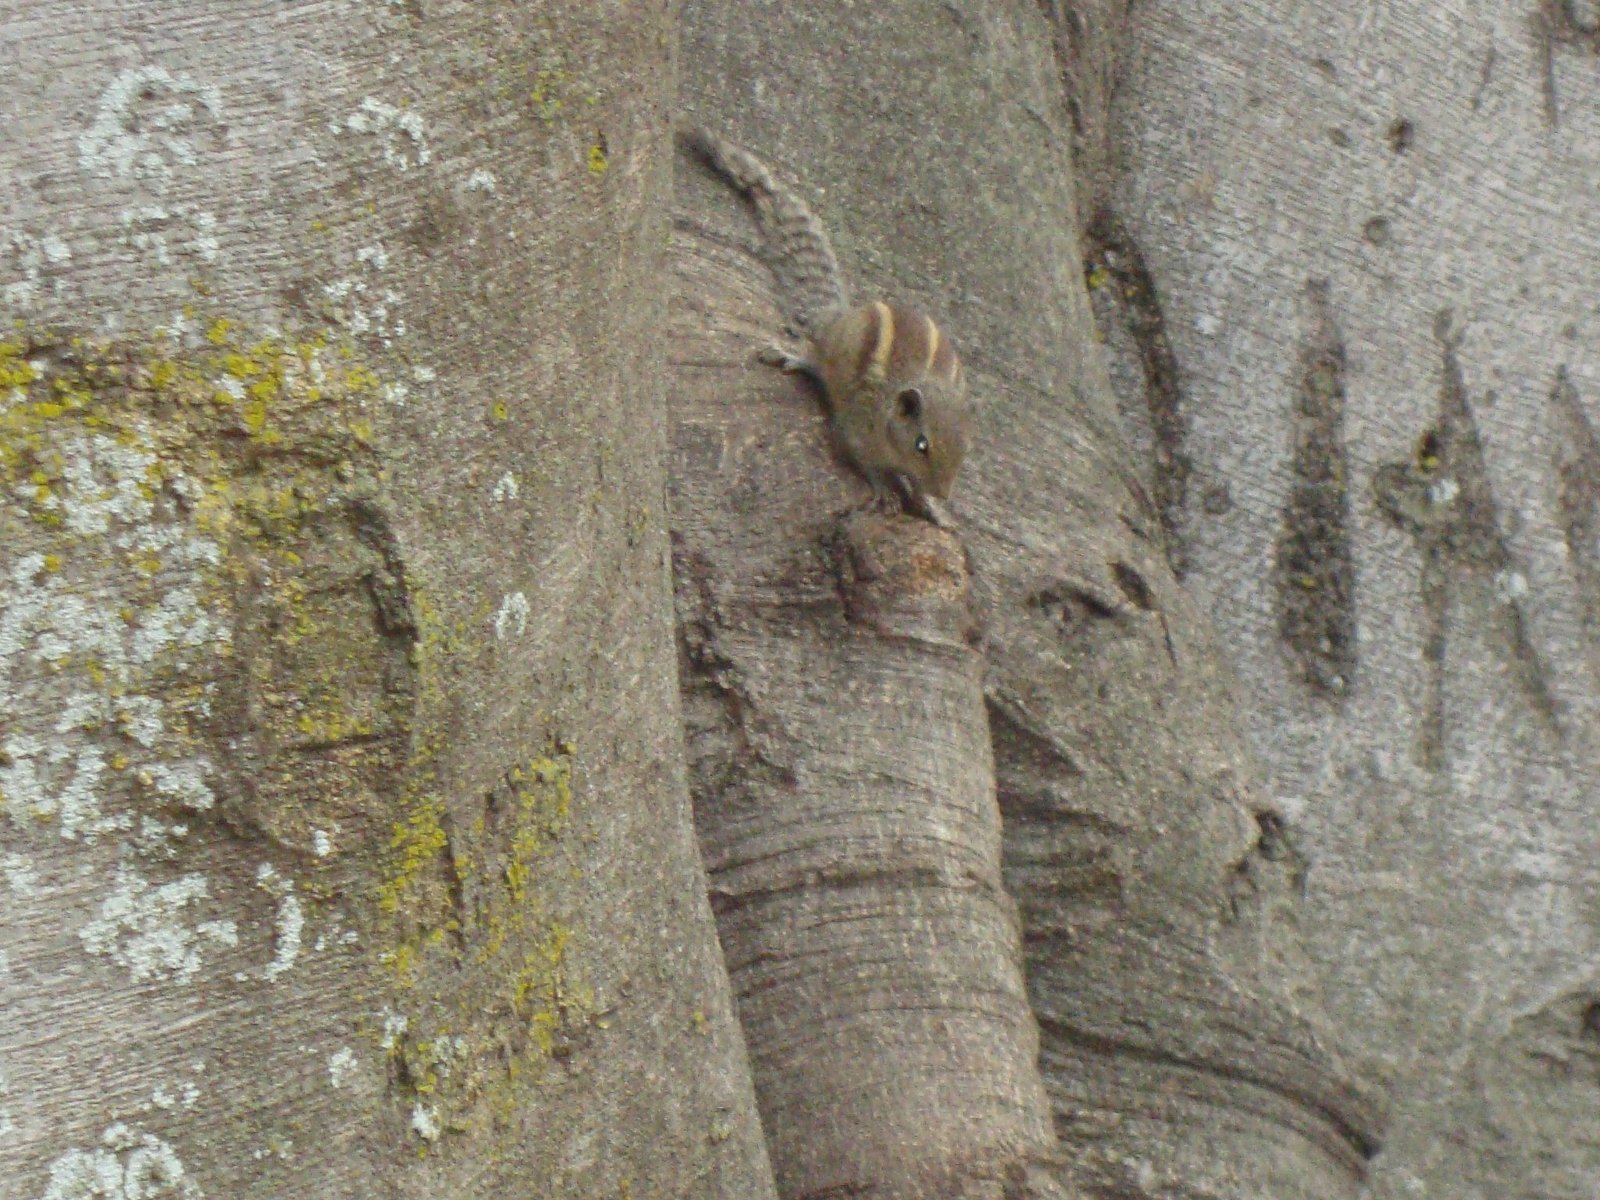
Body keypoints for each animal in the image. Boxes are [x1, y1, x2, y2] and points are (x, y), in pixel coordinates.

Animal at [678, 124, 971, 518]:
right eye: (921, 444)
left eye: (964, 448)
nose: (943, 492)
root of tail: (839, 320)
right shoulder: (856, 428)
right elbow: (862, 460)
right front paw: (886, 492)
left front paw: (931, 508)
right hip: (832, 359)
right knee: (814, 355)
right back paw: (790, 356)